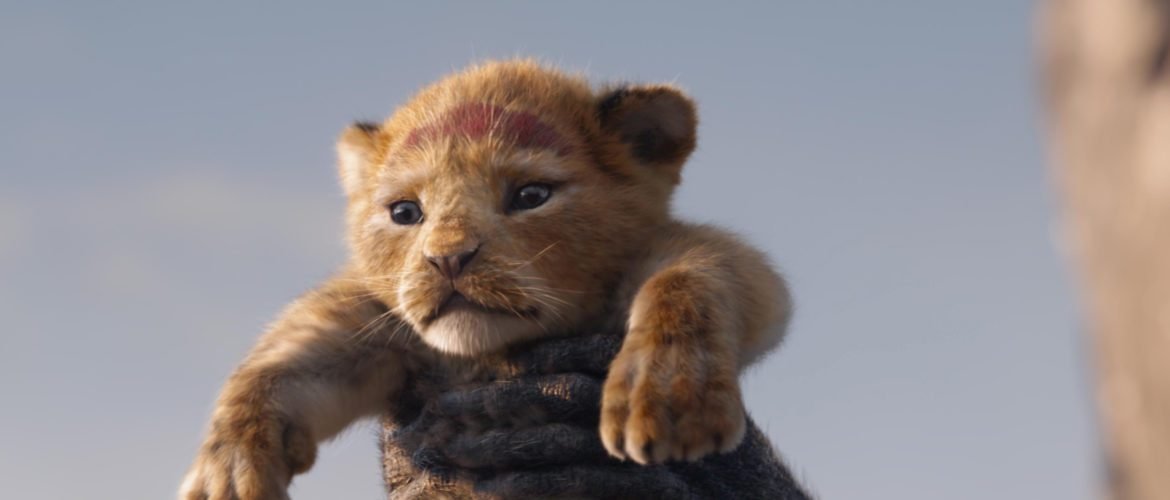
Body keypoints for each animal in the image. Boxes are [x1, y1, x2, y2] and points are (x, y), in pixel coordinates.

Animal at [180, 60, 793, 499]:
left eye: (531, 195)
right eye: (405, 212)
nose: (448, 259)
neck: (491, 356)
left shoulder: (690, 258)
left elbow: (693, 278)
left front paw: (666, 395)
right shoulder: (381, 326)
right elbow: (282, 359)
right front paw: (226, 474)